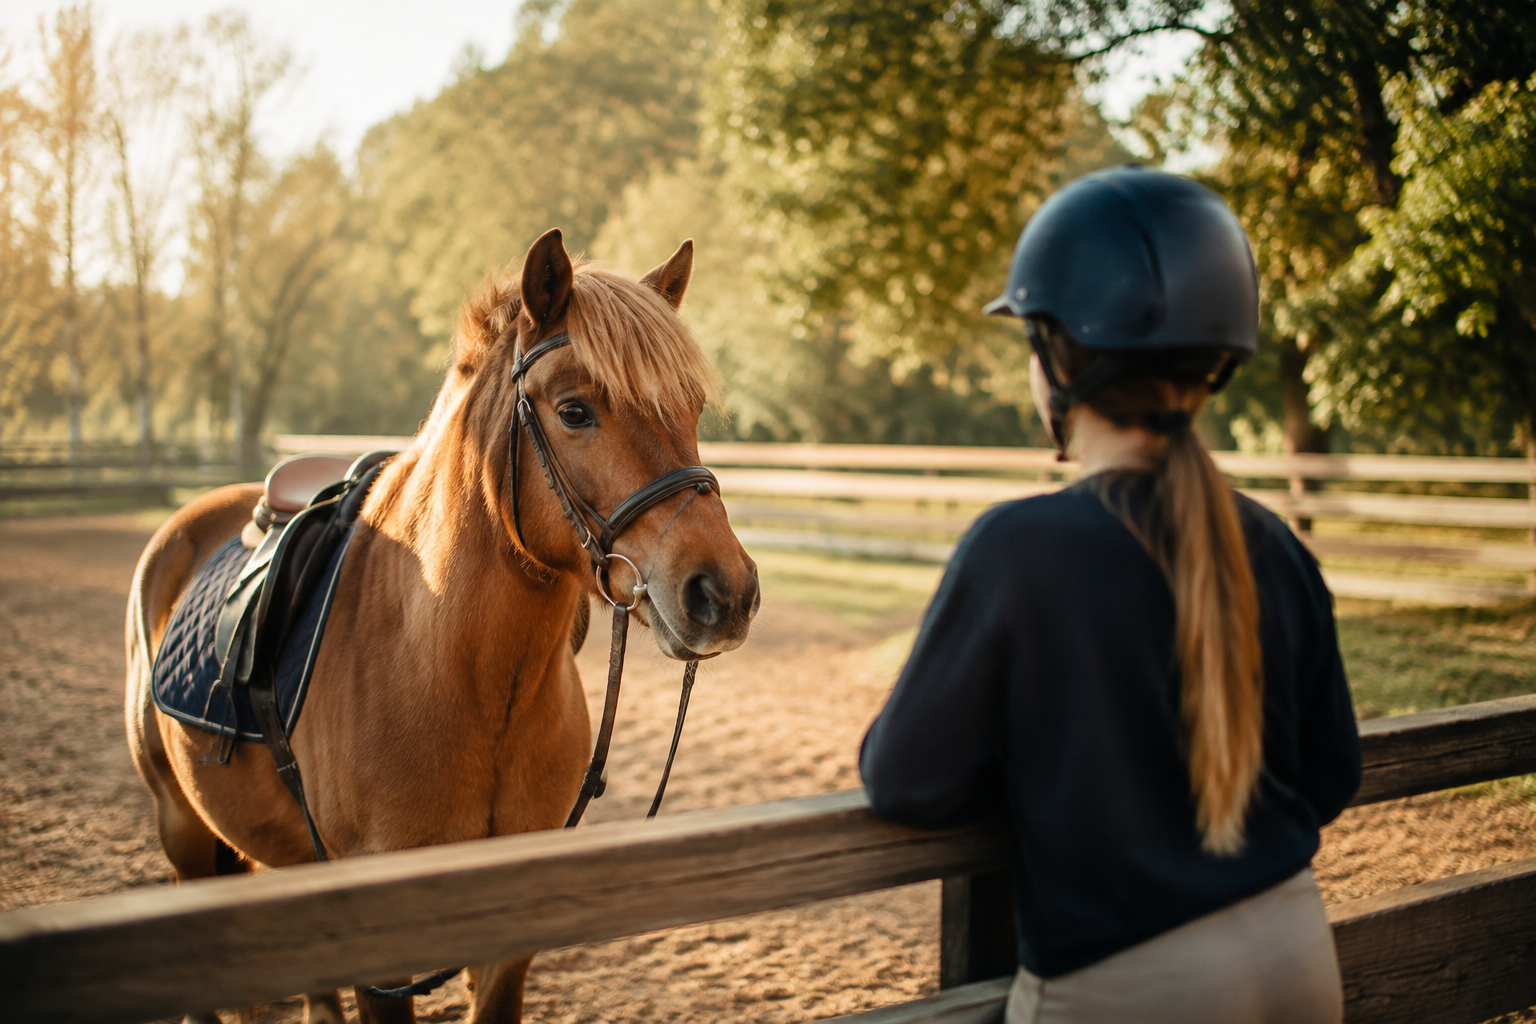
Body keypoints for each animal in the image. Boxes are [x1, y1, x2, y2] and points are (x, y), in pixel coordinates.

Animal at [124, 229, 760, 1024]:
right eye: (575, 411)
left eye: (693, 407)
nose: (725, 592)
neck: (454, 677)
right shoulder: (381, 952)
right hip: (182, 831)